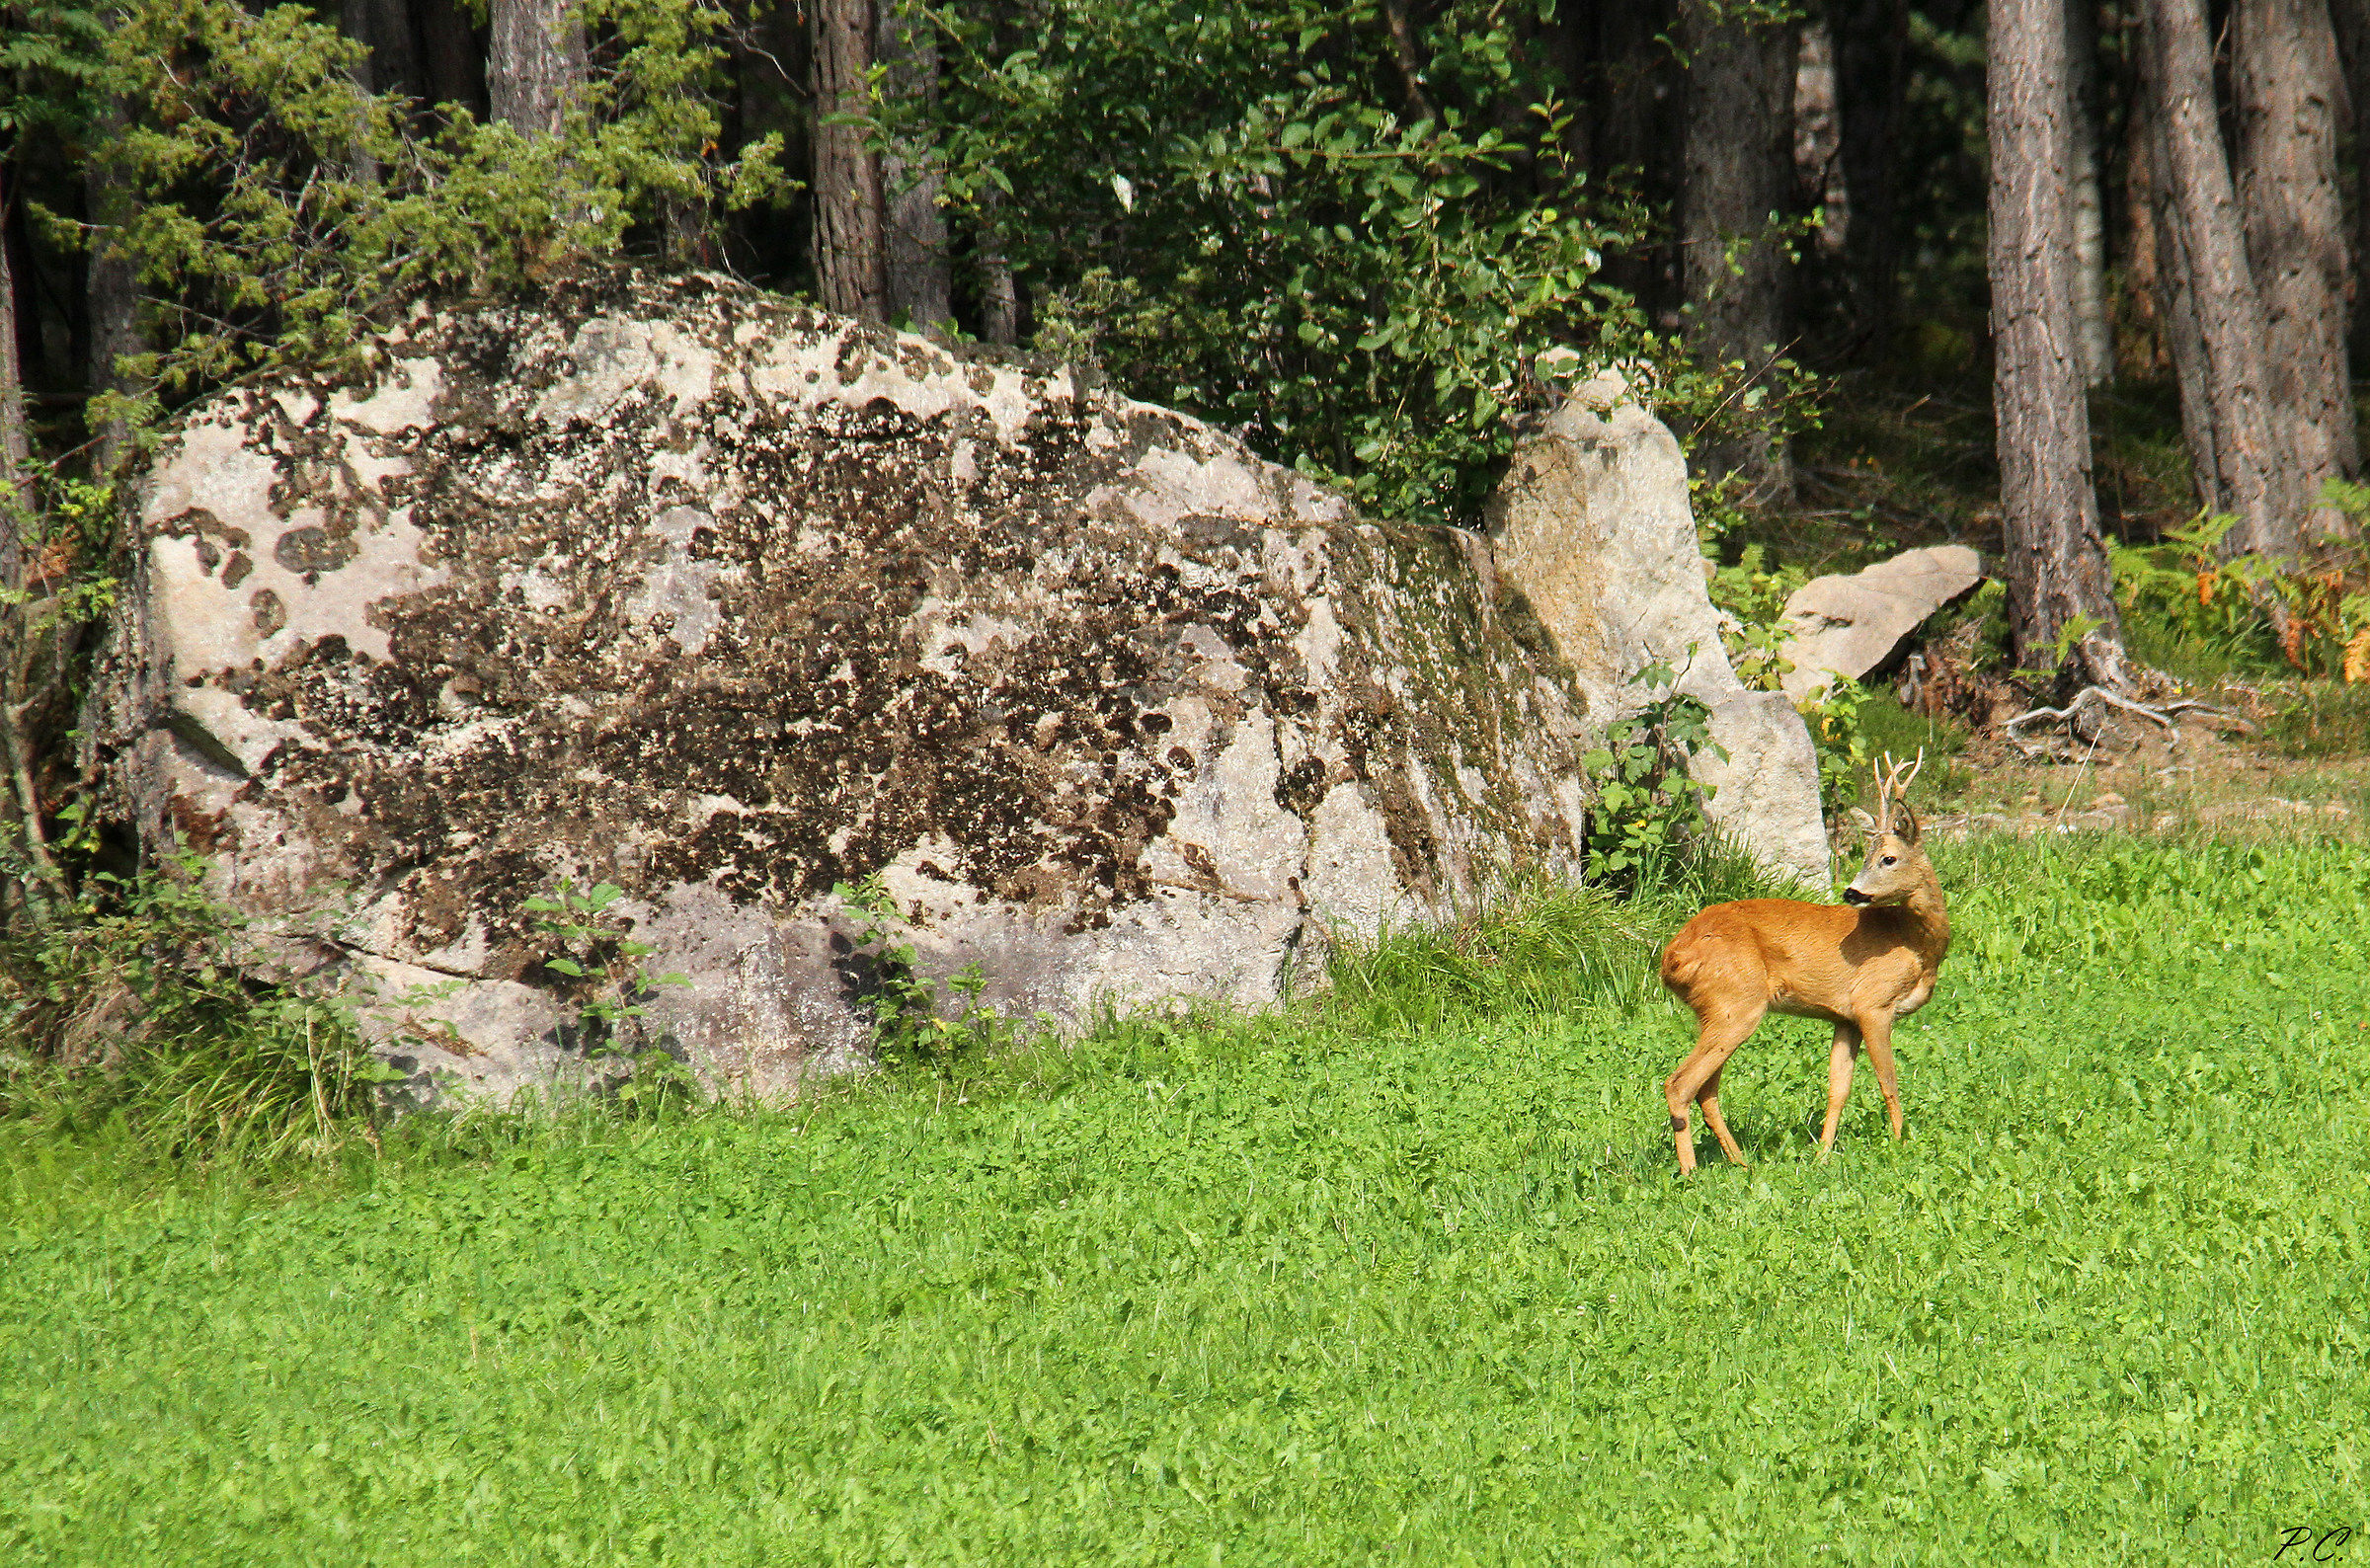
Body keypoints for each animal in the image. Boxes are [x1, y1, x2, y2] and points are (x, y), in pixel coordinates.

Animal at [1657, 751, 1951, 1174]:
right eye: (1869, 856)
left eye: (1888, 858)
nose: (1851, 892)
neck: (1914, 943)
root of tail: (1672, 957)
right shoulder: (1873, 1003)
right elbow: (1888, 1080)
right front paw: (1899, 1145)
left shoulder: (1846, 1017)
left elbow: (1838, 1088)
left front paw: (1822, 1153)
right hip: (1736, 1003)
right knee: (1680, 1083)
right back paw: (1691, 1171)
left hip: (1715, 1010)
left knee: (1705, 1088)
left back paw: (1741, 1163)